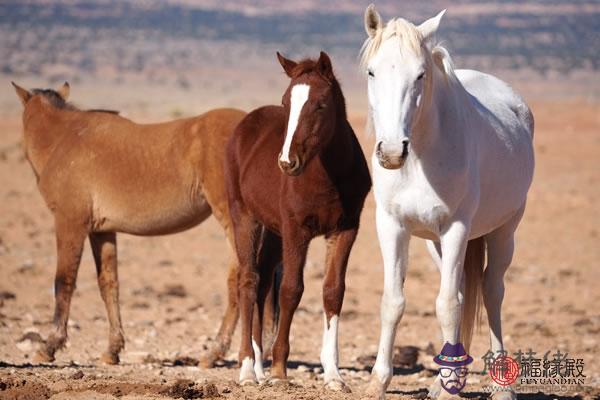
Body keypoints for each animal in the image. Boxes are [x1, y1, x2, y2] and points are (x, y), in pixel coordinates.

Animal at [225, 50, 370, 390]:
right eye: (285, 102)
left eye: (320, 104)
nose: (287, 162)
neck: (328, 176)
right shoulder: (296, 230)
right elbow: (291, 290)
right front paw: (280, 369)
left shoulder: (345, 230)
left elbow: (333, 291)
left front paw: (333, 375)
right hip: (246, 219)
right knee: (248, 282)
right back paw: (248, 369)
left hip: (273, 231)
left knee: (263, 283)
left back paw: (259, 367)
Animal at [360, 5, 536, 400]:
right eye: (372, 71)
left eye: (420, 75)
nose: (391, 152)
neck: (420, 158)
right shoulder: (391, 226)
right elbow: (393, 302)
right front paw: (378, 381)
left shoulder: (456, 228)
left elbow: (449, 306)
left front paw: (454, 384)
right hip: (435, 244)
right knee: (461, 288)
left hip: (504, 230)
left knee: (491, 292)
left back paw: (500, 386)